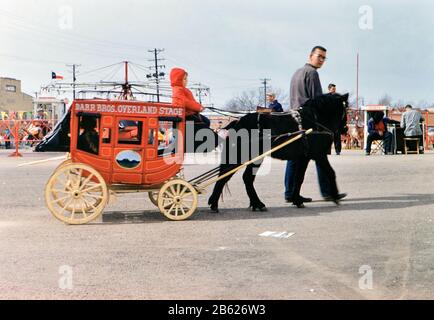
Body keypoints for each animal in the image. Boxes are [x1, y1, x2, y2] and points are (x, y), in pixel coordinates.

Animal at [208, 92, 350, 212]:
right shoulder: (319, 155)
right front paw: (335, 196)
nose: (345, 129)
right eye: (346, 110)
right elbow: (330, 172)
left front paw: (297, 199)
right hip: (248, 157)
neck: (314, 120)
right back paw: (253, 203)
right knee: (239, 177)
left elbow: (299, 178)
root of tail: (238, 122)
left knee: (235, 177)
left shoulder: (304, 157)